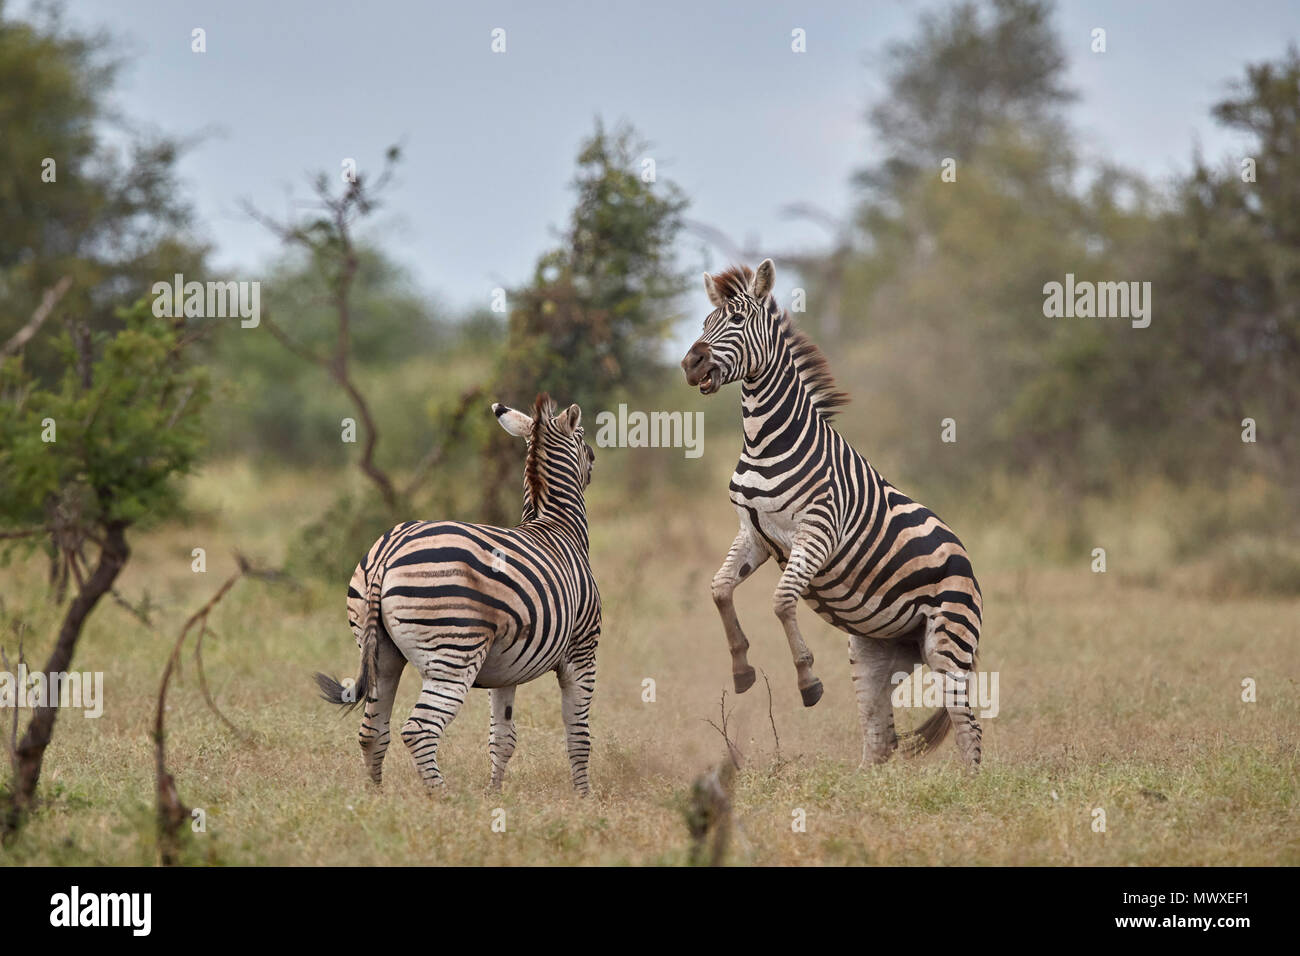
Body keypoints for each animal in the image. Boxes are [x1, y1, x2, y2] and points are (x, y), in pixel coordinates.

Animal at [317, 395, 600, 790]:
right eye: (583, 435)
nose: (595, 459)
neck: (557, 526)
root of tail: (388, 550)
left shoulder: (507, 667)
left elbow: (503, 737)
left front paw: (495, 794)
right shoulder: (583, 650)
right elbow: (579, 734)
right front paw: (583, 796)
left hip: (380, 652)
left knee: (372, 730)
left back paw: (376, 795)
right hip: (454, 651)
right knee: (418, 730)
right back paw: (443, 795)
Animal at [686, 260, 977, 770]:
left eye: (737, 321)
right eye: (704, 322)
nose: (690, 363)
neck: (764, 441)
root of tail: (967, 558)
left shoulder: (818, 530)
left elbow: (782, 601)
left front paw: (807, 681)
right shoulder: (754, 534)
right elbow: (720, 589)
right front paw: (742, 668)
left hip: (949, 642)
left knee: (968, 730)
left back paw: (973, 784)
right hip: (874, 651)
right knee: (881, 739)